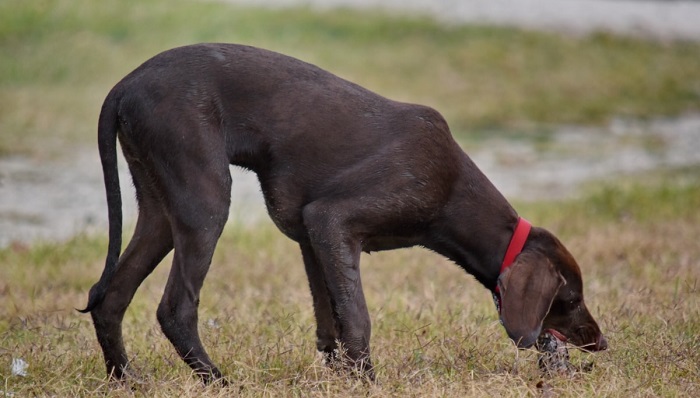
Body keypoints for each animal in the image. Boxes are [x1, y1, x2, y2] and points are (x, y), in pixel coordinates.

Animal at [82, 42, 608, 382]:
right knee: (176, 308)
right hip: (206, 201)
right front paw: (367, 381)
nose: (600, 343)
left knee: (109, 297)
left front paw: (342, 378)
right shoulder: (332, 221)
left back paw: (127, 380)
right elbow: (356, 317)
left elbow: (329, 320)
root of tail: (123, 86)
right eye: (571, 299)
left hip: (160, 211)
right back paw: (218, 381)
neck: (452, 186)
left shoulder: (312, 236)